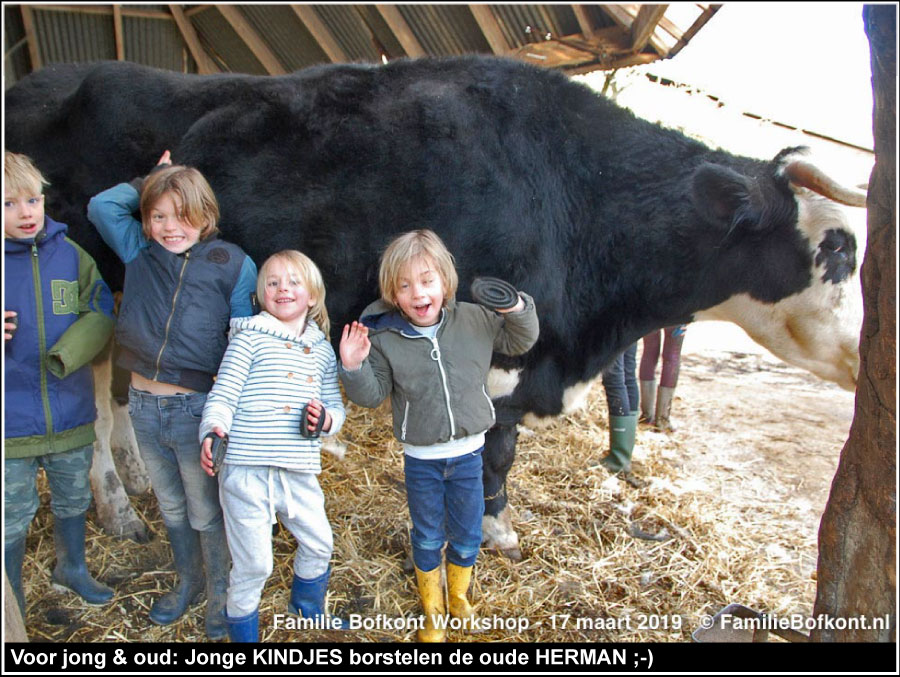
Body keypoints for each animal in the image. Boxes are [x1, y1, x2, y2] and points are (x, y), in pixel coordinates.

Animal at [5, 58, 864, 552]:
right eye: (841, 247)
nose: (868, 352)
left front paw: (499, 526)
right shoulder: (499, 351)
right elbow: (493, 451)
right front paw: (487, 530)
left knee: (117, 388)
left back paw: (138, 485)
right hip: (90, 285)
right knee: (91, 394)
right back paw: (117, 505)